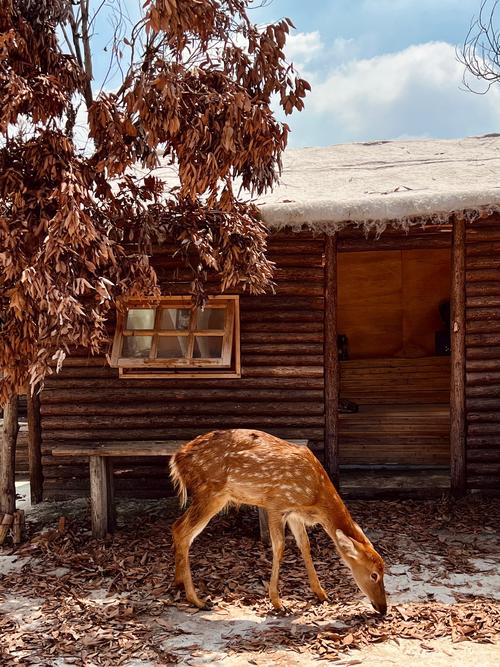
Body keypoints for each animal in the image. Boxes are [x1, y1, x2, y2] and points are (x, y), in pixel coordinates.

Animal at [170, 428, 387, 615]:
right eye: (374, 574)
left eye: (384, 570)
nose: (383, 608)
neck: (315, 498)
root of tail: (176, 459)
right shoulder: (276, 504)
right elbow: (280, 547)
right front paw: (277, 603)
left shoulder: (294, 513)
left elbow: (305, 544)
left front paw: (321, 594)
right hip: (212, 493)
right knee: (182, 530)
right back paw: (197, 600)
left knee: (176, 527)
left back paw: (178, 583)